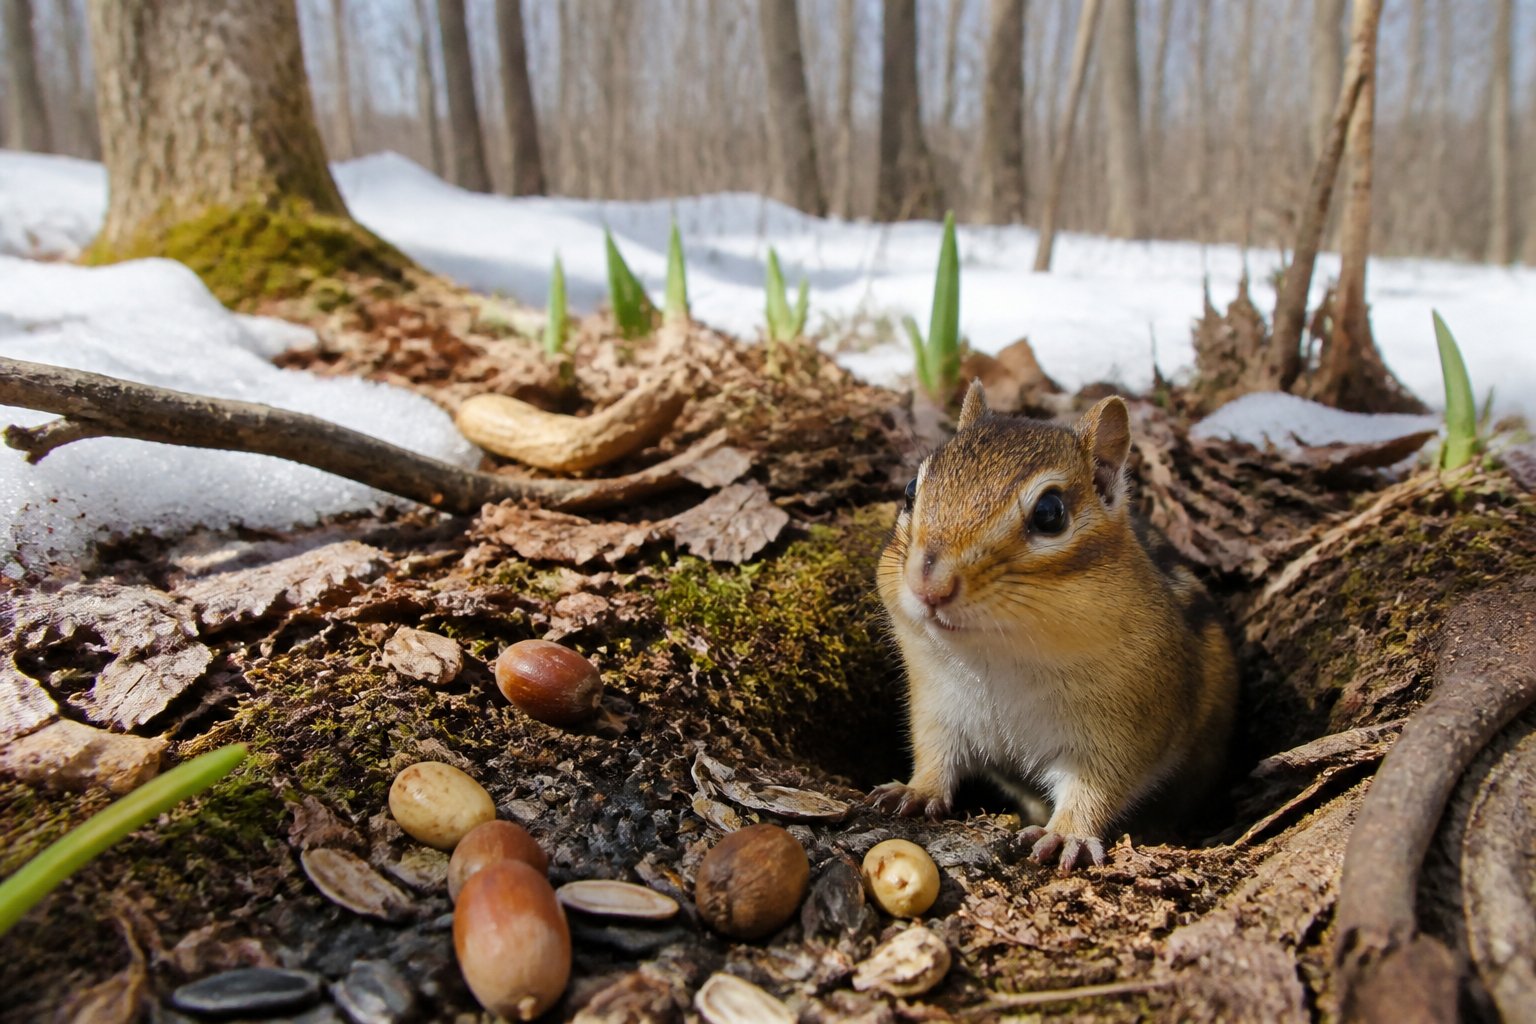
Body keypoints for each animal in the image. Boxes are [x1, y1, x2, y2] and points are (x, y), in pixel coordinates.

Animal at [870, 381, 1237, 872]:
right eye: (911, 490)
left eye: (1050, 512)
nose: (929, 584)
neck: (996, 657)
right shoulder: (937, 708)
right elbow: (934, 754)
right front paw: (915, 790)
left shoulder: (1122, 733)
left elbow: (1096, 788)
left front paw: (1066, 834)